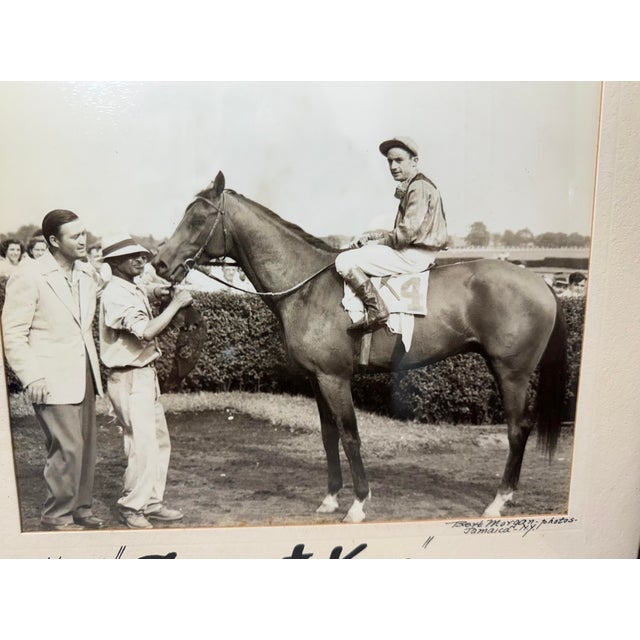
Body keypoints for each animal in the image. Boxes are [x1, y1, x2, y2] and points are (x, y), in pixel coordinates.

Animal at [153, 171, 567, 523]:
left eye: (198, 219)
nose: (159, 263)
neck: (307, 287)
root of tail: (543, 284)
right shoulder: (316, 378)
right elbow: (328, 436)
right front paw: (330, 498)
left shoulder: (335, 377)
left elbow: (350, 435)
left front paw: (358, 503)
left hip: (511, 372)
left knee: (517, 428)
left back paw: (499, 500)